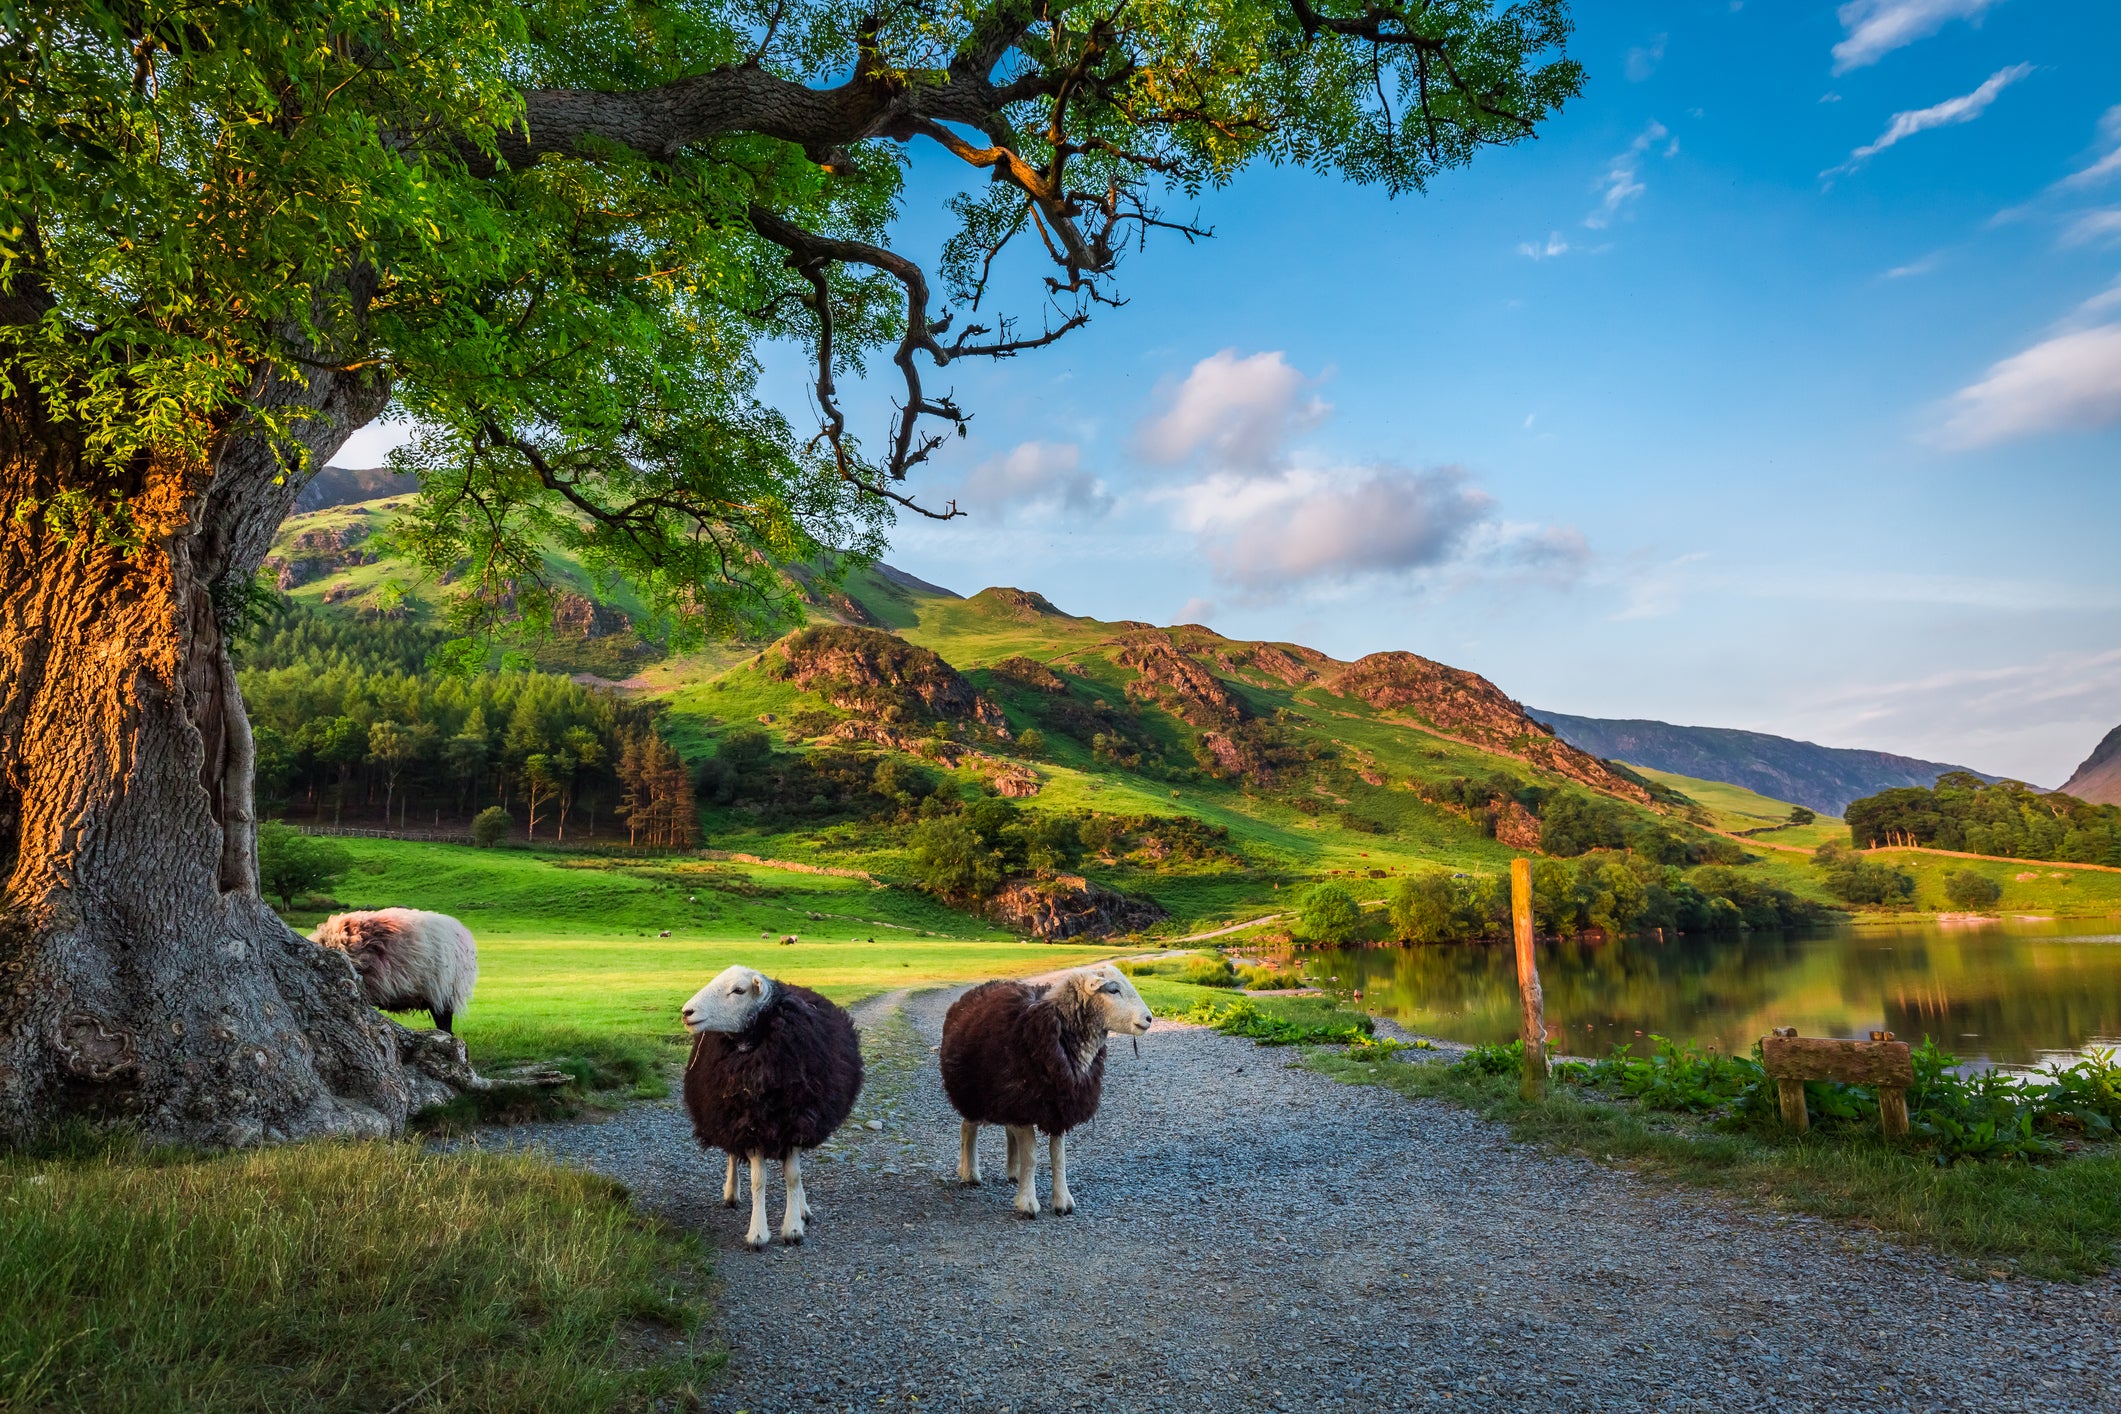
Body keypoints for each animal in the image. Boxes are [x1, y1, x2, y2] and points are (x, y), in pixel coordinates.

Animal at [678, 962, 861, 1246]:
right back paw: (731, 1193)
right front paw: (758, 1233)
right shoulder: (749, 1125)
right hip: (727, 1117)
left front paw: (793, 1228)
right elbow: (758, 1181)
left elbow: (793, 1176)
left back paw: (803, 1208)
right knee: (732, 1154)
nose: (687, 1012)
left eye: (739, 990)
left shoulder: (798, 1122)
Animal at [937, 966, 1153, 1221]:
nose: (1149, 1018)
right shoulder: (1025, 1102)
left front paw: (1063, 1202)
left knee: (1008, 1132)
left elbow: (1058, 1157)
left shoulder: (1057, 1107)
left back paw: (1014, 1171)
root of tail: (981, 987)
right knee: (968, 1128)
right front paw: (1028, 1203)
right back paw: (970, 1173)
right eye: (1113, 990)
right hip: (974, 1092)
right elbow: (1031, 1156)